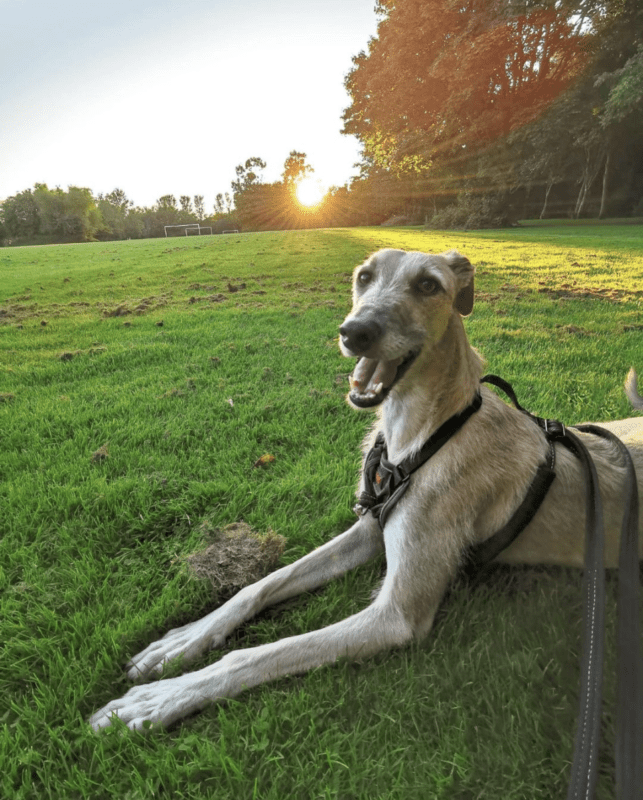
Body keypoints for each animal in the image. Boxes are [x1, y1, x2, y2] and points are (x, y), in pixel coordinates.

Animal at [92, 248, 643, 732]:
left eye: (429, 285)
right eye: (363, 276)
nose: (355, 332)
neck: (419, 434)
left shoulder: (395, 614)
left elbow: (259, 653)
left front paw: (160, 699)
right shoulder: (369, 528)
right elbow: (262, 583)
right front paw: (183, 640)